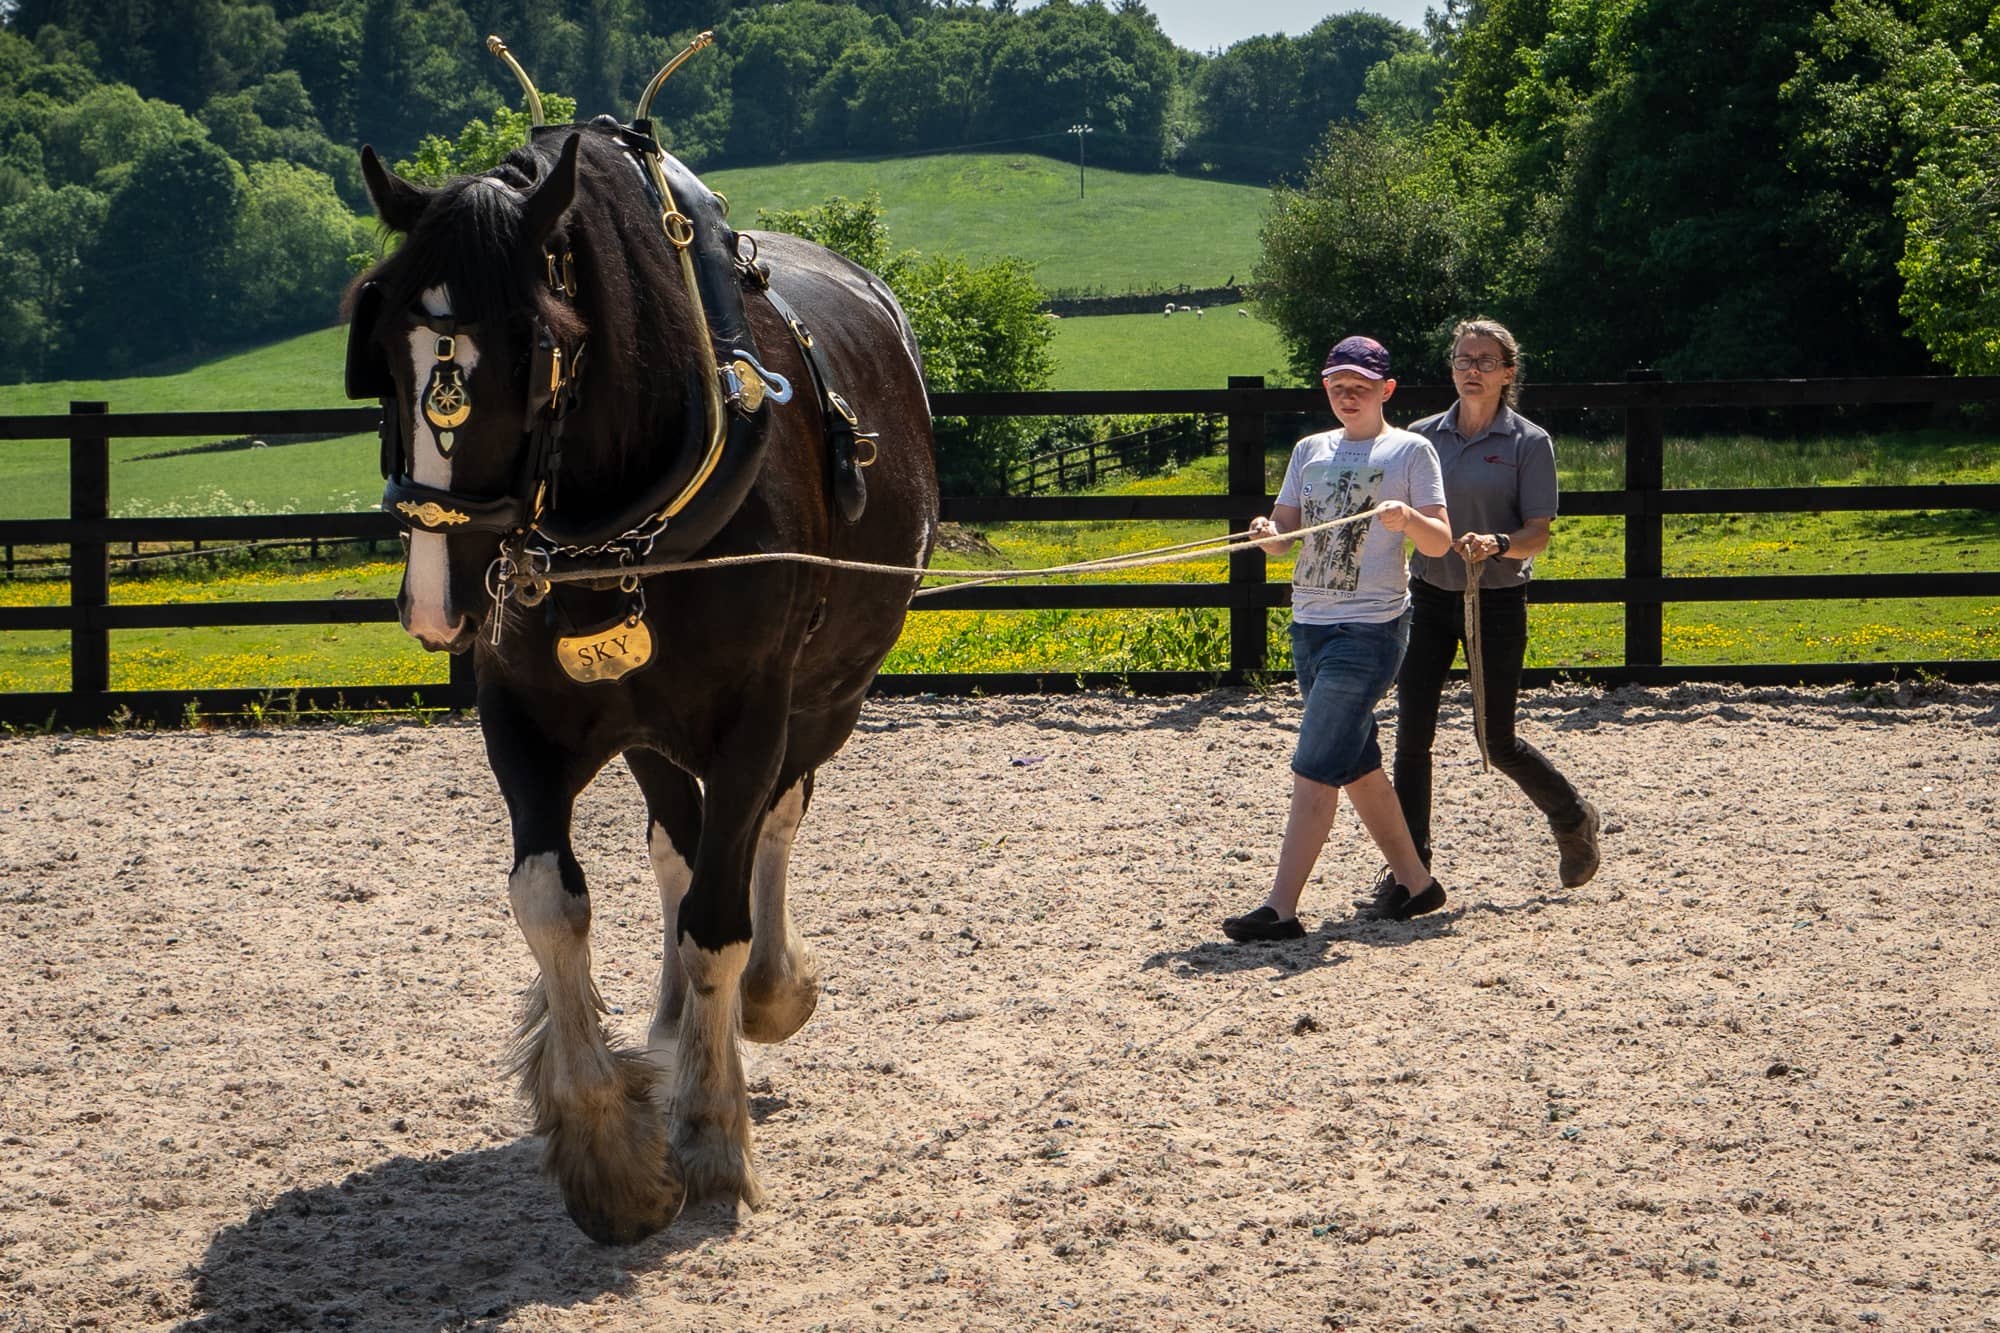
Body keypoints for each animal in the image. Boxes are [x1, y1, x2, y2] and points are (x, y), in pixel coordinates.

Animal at [346, 119, 936, 1240]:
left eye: (535, 348)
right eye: (383, 343)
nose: (441, 602)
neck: (611, 519)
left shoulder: (753, 717)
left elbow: (718, 918)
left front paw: (710, 1133)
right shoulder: (524, 717)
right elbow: (550, 901)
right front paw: (609, 1149)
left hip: (827, 696)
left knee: (769, 828)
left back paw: (766, 990)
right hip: (649, 731)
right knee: (677, 842)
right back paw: (674, 1022)